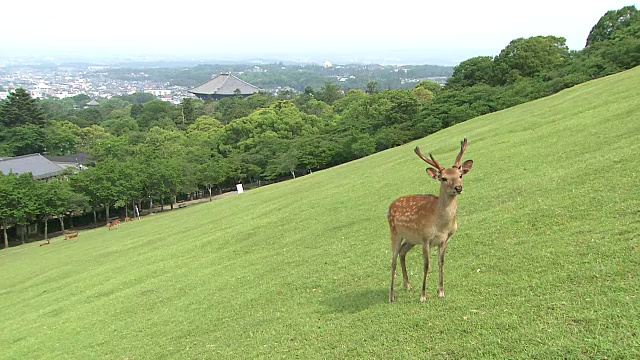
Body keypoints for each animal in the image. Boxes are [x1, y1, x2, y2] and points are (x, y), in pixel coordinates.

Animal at [388, 139, 472, 302]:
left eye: (460, 175)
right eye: (443, 178)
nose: (458, 188)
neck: (441, 225)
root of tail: (390, 206)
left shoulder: (446, 238)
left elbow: (440, 262)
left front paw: (441, 292)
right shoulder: (425, 238)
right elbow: (426, 265)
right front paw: (423, 296)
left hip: (411, 239)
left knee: (402, 252)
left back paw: (408, 285)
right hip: (395, 233)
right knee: (393, 260)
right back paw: (392, 295)